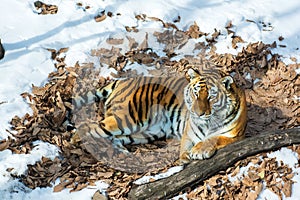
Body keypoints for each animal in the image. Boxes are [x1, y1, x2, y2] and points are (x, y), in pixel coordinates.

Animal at [71, 68, 247, 163]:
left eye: (211, 96)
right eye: (196, 94)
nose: (198, 113)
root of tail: (122, 80)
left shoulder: (237, 136)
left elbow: (214, 138)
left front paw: (199, 150)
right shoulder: (188, 134)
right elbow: (185, 146)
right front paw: (185, 157)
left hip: (144, 133)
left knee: (112, 138)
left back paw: (123, 154)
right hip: (128, 119)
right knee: (87, 127)